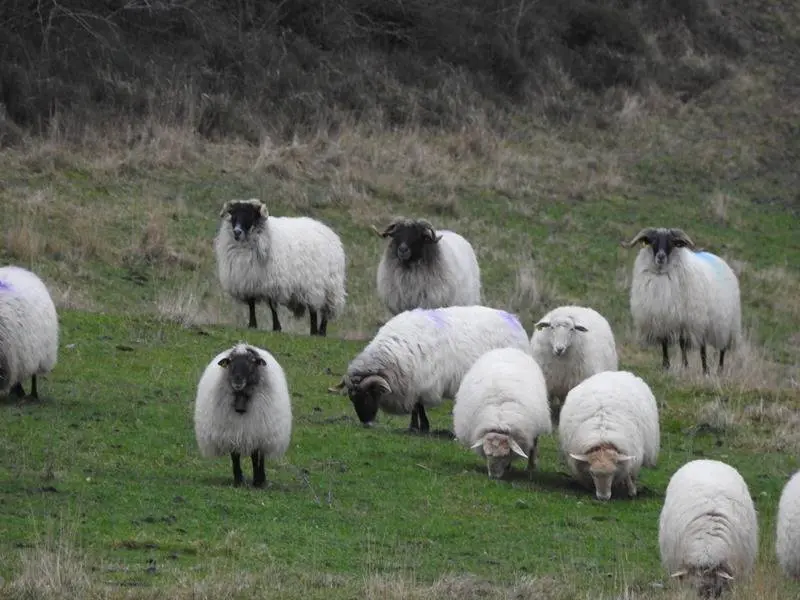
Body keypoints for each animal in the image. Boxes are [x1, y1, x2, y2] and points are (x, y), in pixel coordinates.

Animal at [194, 343, 292, 488]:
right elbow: (235, 456)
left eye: (252, 362)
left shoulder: (256, 432)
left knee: (260, 456)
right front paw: (238, 481)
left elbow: (256, 456)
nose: (237, 381)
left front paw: (258, 481)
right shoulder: (232, 432)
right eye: (230, 362)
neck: (241, 397)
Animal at [214, 198, 347, 336]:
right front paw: (252, 325)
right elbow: (251, 303)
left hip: (327, 286)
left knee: (322, 310)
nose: (237, 232)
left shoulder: (273, 281)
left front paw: (276, 327)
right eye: (233, 214)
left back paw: (319, 332)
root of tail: (328, 231)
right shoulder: (248, 280)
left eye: (250, 215)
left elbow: (272, 305)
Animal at [328, 305, 531, 434]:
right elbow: (416, 407)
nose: (366, 423)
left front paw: (423, 427)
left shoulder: (422, 383)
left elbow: (419, 406)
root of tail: (514, 320)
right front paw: (413, 427)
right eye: (352, 398)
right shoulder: (412, 383)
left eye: (368, 395)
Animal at [558, 370, 659, 501]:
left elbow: (630, 474)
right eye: (592, 473)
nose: (603, 498)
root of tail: (614, 372)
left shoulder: (632, 453)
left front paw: (632, 491)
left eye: (612, 473)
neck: (603, 437)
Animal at [621, 227, 741, 375]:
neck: (662, 275)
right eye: (652, 241)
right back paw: (705, 370)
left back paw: (718, 370)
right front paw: (666, 365)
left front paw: (685, 366)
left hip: (725, 324)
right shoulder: (662, 319)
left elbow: (682, 343)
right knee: (703, 347)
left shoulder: (685, 320)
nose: (660, 257)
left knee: (722, 349)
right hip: (704, 323)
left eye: (672, 242)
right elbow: (664, 342)